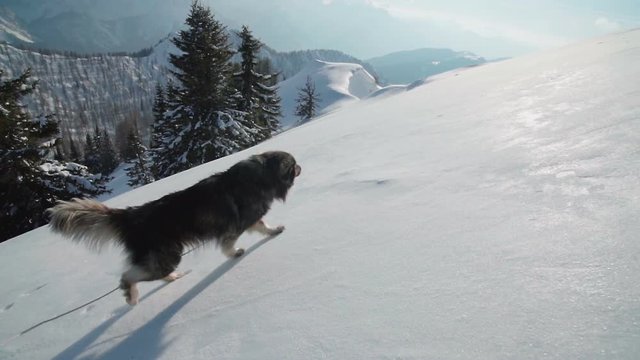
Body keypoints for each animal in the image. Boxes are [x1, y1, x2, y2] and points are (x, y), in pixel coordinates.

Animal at [47, 150, 302, 306]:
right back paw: (132, 296)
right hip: (168, 255)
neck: (261, 176)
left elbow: (261, 228)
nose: (300, 166)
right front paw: (238, 251)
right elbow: (240, 237)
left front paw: (272, 232)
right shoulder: (241, 223)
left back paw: (172, 278)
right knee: (129, 275)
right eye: (292, 165)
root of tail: (131, 215)